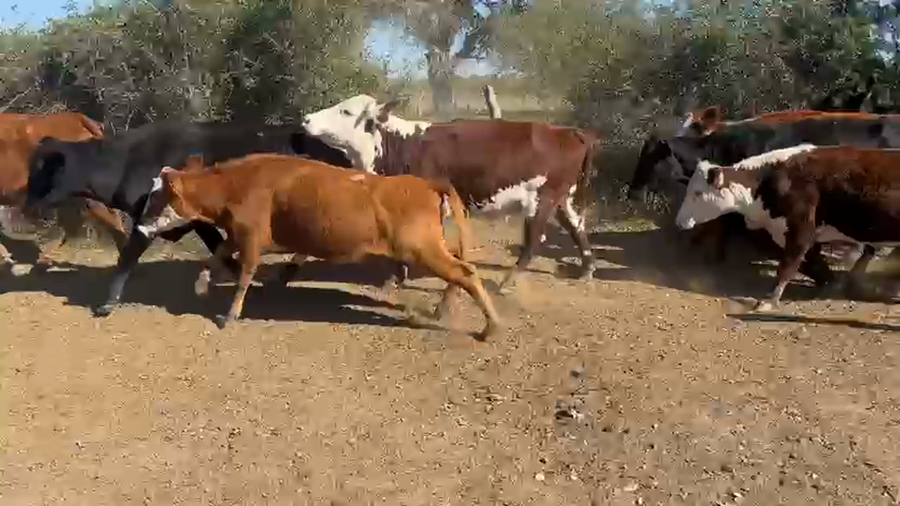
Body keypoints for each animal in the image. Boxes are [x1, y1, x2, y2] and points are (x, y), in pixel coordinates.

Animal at [25, 120, 353, 317]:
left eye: (45, 169)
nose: (26, 204)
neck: (129, 161)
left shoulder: (158, 223)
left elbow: (127, 258)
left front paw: (107, 304)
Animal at [135, 154, 502, 339]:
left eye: (156, 197)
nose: (138, 225)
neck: (236, 183)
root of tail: (425, 183)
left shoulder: (251, 239)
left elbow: (243, 276)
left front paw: (230, 314)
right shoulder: (239, 235)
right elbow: (215, 257)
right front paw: (200, 286)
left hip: (424, 250)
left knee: (465, 272)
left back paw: (491, 328)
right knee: (461, 271)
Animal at [300, 94, 597, 294]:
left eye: (346, 111)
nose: (306, 119)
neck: (402, 145)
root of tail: (567, 131)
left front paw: (393, 280)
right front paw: (398, 278)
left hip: (543, 200)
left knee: (534, 240)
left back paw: (507, 282)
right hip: (563, 199)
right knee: (577, 227)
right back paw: (587, 269)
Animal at [675, 144, 900, 308]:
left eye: (697, 193)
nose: (679, 221)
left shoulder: (800, 231)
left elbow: (788, 265)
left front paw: (769, 300)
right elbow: (814, 264)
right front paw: (833, 285)